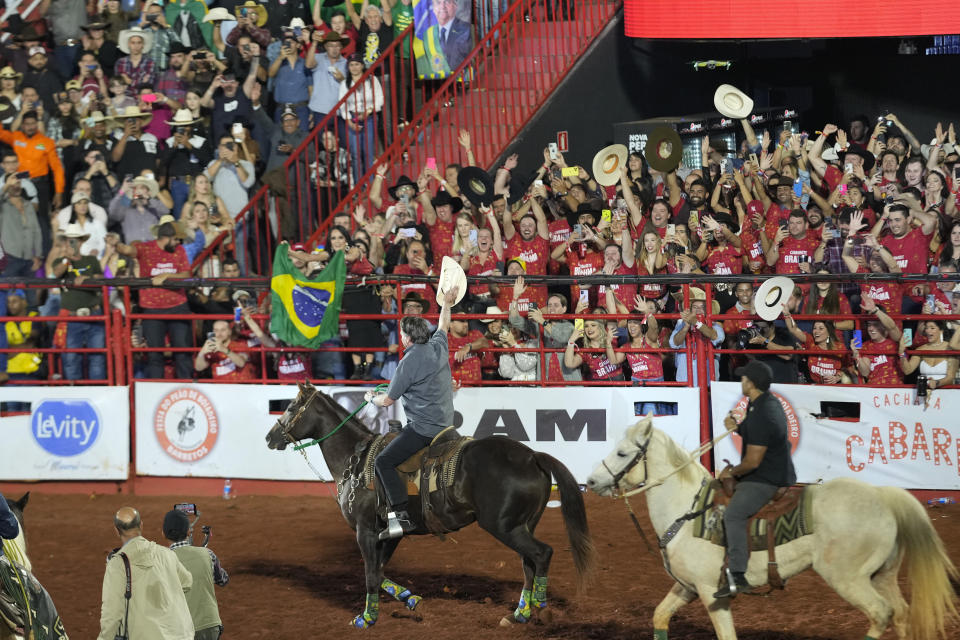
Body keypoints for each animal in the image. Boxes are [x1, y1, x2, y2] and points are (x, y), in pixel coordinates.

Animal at [262, 382, 592, 628]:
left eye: (290, 407)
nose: (269, 437)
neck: (355, 459)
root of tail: (532, 456)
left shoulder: (365, 531)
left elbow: (370, 574)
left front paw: (367, 618)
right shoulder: (389, 534)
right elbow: (379, 572)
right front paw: (410, 599)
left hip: (504, 527)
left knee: (542, 554)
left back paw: (540, 608)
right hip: (523, 525)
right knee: (529, 563)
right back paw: (520, 613)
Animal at [584, 416, 960, 640]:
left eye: (622, 453)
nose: (590, 481)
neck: (687, 510)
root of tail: (881, 495)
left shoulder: (710, 592)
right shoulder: (686, 587)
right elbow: (659, 617)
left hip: (847, 578)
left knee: (881, 614)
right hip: (883, 574)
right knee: (902, 615)